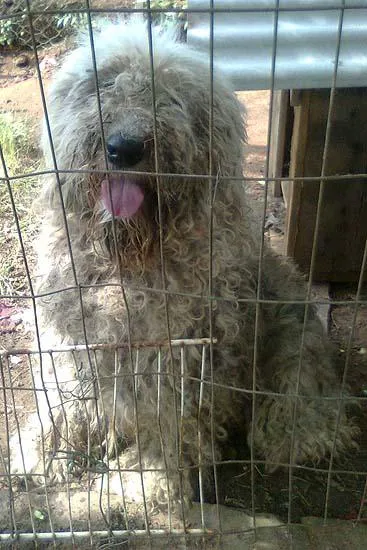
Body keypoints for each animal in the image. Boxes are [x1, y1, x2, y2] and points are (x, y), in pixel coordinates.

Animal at [10, 21, 356, 512]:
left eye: (172, 97)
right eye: (103, 82)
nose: (124, 148)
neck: (128, 264)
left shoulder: (184, 357)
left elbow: (171, 424)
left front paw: (143, 480)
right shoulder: (74, 340)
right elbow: (64, 400)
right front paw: (42, 450)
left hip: (292, 340)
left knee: (302, 405)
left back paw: (294, 433)